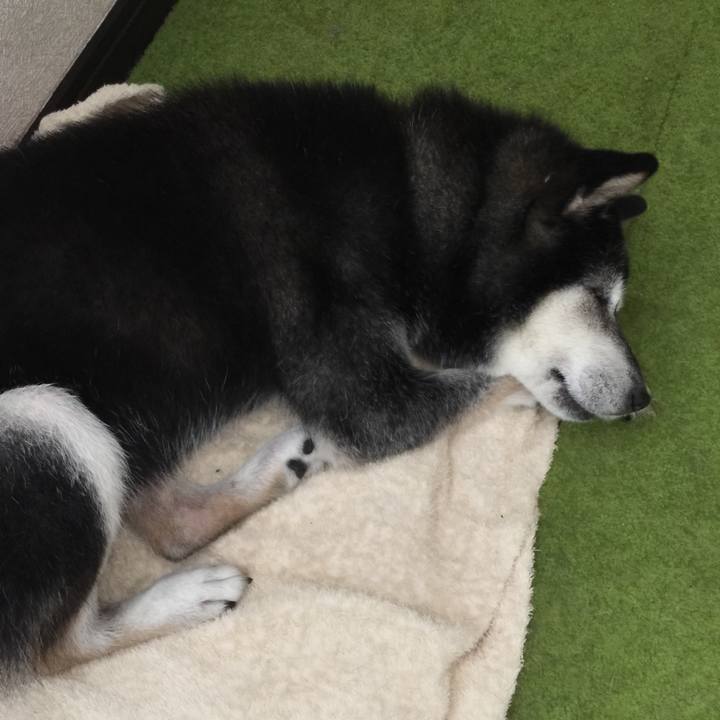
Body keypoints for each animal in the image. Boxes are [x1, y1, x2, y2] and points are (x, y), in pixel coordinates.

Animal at [0, 80, 657, 682]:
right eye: (600, 300)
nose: (643, 397)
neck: (410, 207)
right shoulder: (370, 397)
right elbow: (485, 379)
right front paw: (519, 391)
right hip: (46, 416)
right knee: (56, 650)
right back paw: (183, 598)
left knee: (170, 523)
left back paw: (283, 463)